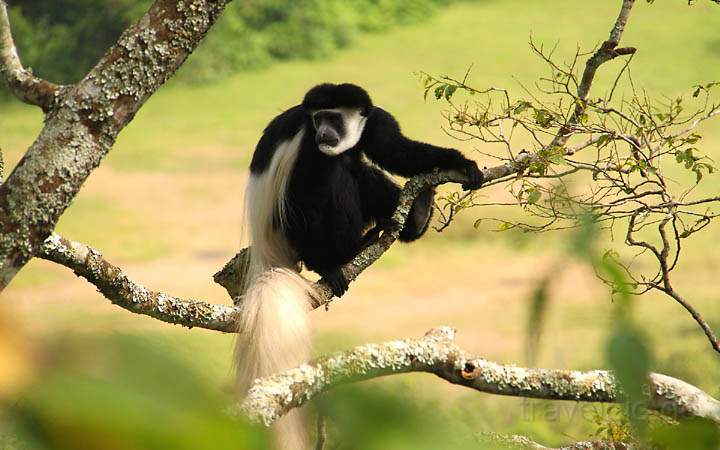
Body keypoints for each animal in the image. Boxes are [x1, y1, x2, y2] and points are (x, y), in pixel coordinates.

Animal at [236, 82, 484, 448]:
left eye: (334, 118)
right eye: (319, 118)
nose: (324, 132)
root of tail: (269, 253)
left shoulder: (378, 122)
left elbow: (400, 153)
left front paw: (461, 163)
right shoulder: (308, 147)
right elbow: (307, 193)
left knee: (360, 171)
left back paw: (415, 217)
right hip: (290, 230)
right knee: (332, 177)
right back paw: (339, 259)